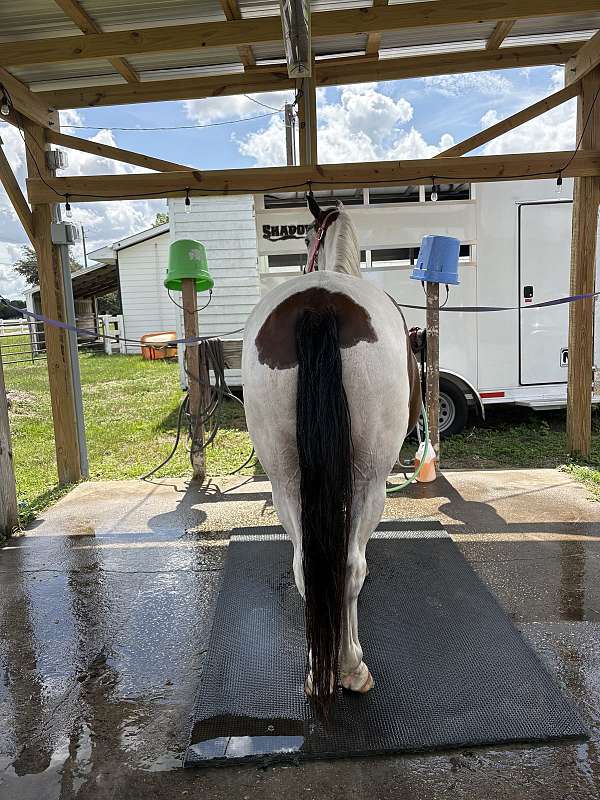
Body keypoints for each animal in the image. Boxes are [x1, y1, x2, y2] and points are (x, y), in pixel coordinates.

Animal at [242, 194, 420, 717]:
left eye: (305, 235)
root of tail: (319, 303)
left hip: (286, 481)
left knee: (307, 566)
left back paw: (316, 672)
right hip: (370, 480)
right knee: (350, 567)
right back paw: (351, 667)